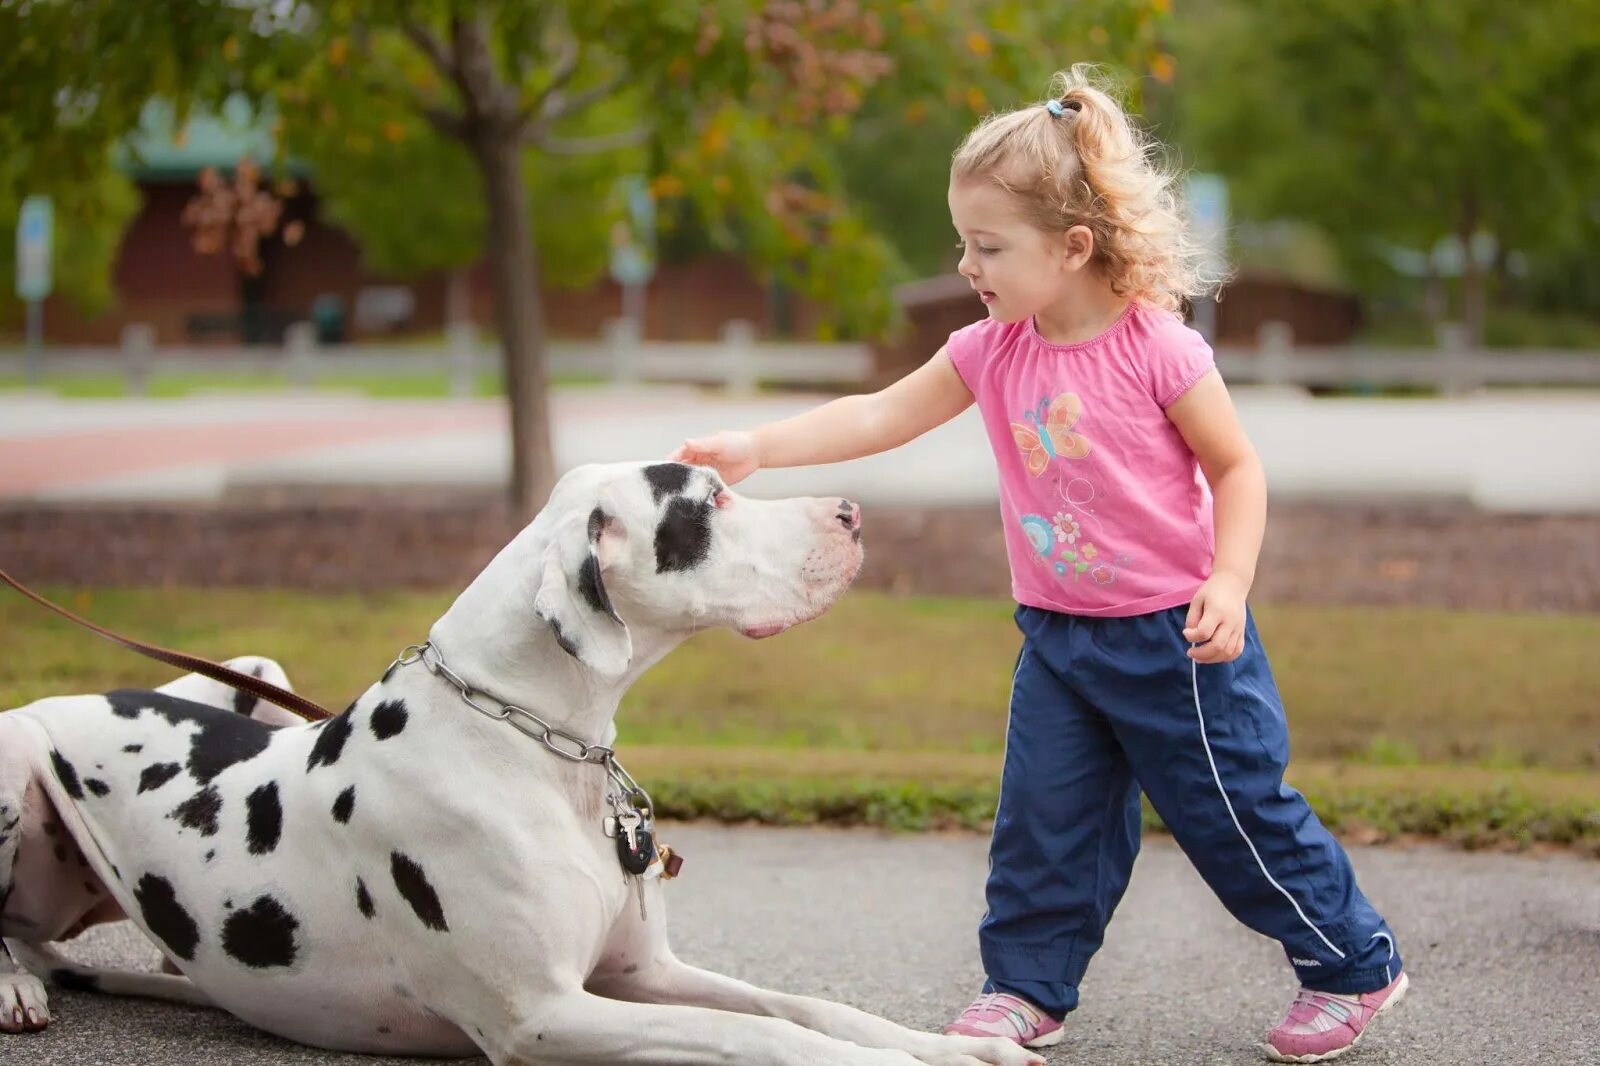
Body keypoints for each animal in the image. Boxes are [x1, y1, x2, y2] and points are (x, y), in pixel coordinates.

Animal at [0, 464, 1036, 1062]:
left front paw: (949, 1048)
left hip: (254, 672)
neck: (533, 743)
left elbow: (805, 1007)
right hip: (15, 749)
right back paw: (16, 984)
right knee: (13, 931)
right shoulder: (546, 1016)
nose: (854, 512)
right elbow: (765, 1039)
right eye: (710, 502)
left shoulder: (641, 975)